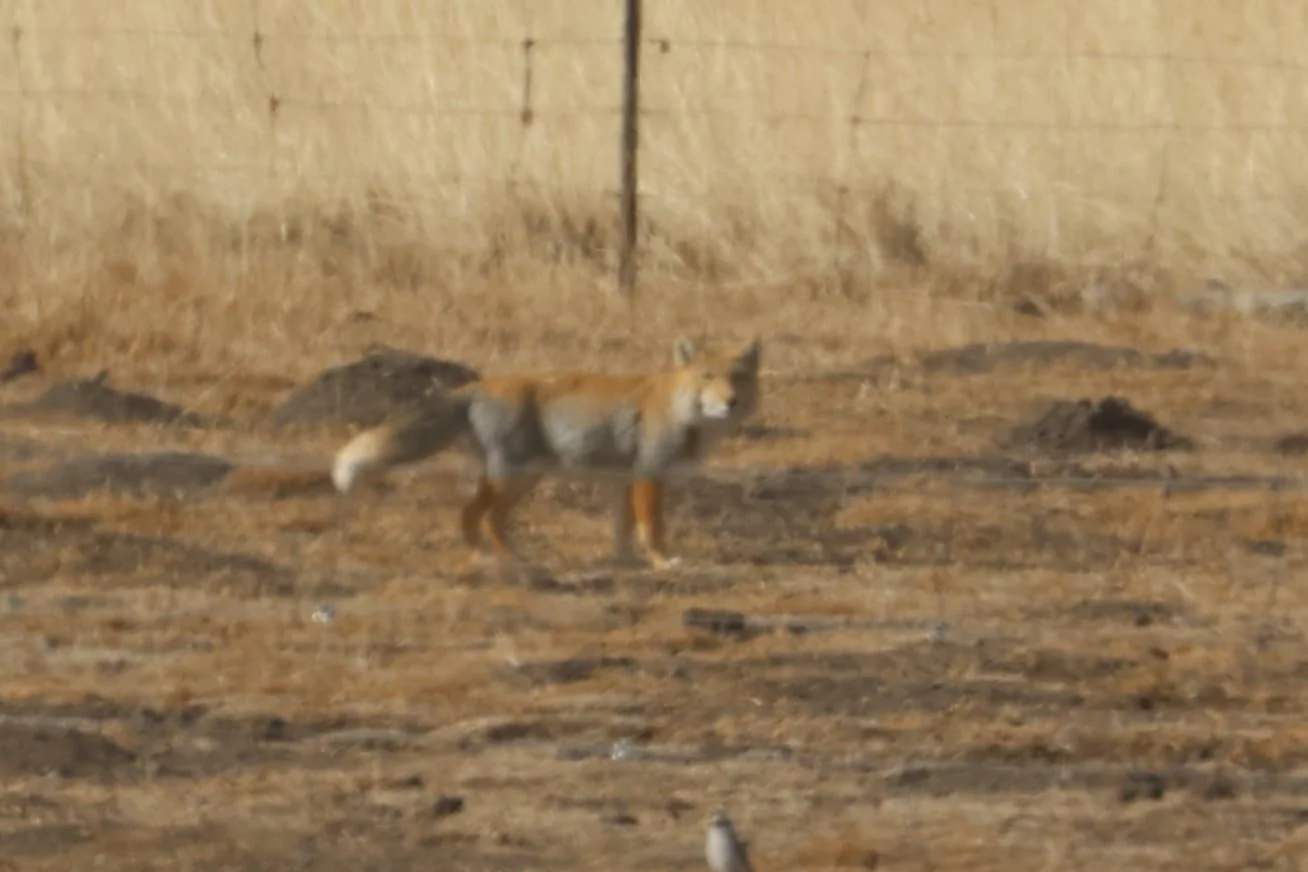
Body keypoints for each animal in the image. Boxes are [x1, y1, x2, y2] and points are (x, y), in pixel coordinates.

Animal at [331, 337, 762, 571]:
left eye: (738, 378)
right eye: (708, 378)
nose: (731, 402)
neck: (680, 411)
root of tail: (480, 386)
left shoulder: (623, 480)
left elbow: (622, 530)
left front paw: (625, 562)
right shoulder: (648, 474)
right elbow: (652, 528)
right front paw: (660, 562)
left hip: (520, 479)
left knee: (476, 517)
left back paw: (488, 558)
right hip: (513, 478)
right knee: (481, 517)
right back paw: (504, 561)